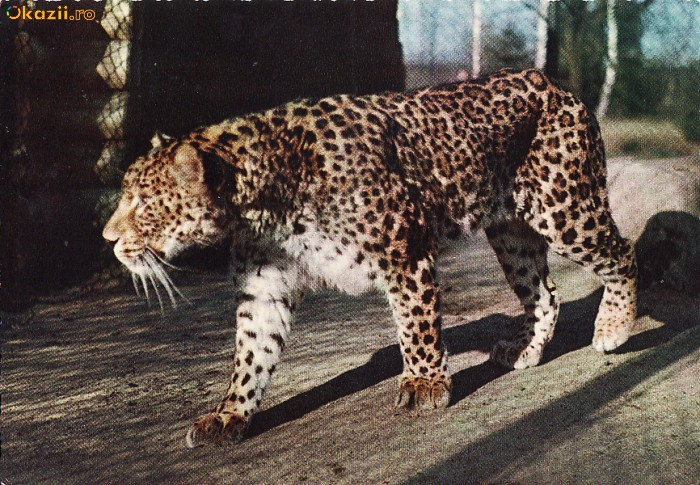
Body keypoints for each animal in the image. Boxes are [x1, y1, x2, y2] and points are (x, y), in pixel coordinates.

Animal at [102, 68, 638, 448]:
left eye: (142, 203)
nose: (107, 238)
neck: (259, 206)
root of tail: (555, 83)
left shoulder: (405, 250)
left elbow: (417, 324)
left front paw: (424, 385)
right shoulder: (264, 287)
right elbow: (251, 356)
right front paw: (230, 413)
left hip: (566, 208)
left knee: (623, 253)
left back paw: (613, 328)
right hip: (511, 231)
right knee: (545, 293)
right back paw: (525, 350)